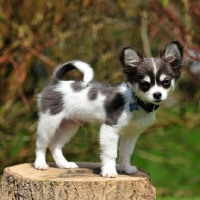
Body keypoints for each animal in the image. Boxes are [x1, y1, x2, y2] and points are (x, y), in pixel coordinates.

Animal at [33, 39, 184, 177]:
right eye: (144, 84)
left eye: (166, 82)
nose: (157, 94)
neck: (137, 102)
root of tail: (57, 82)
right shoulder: (110, 128)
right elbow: (111, 153)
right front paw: (109, 171)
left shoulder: (132, 133)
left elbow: (126, 152)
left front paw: (125, 168)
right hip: (49, 121)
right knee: (42, 143)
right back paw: (40, 164)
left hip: (69, 125)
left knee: (54, 144)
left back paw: (64, 164)